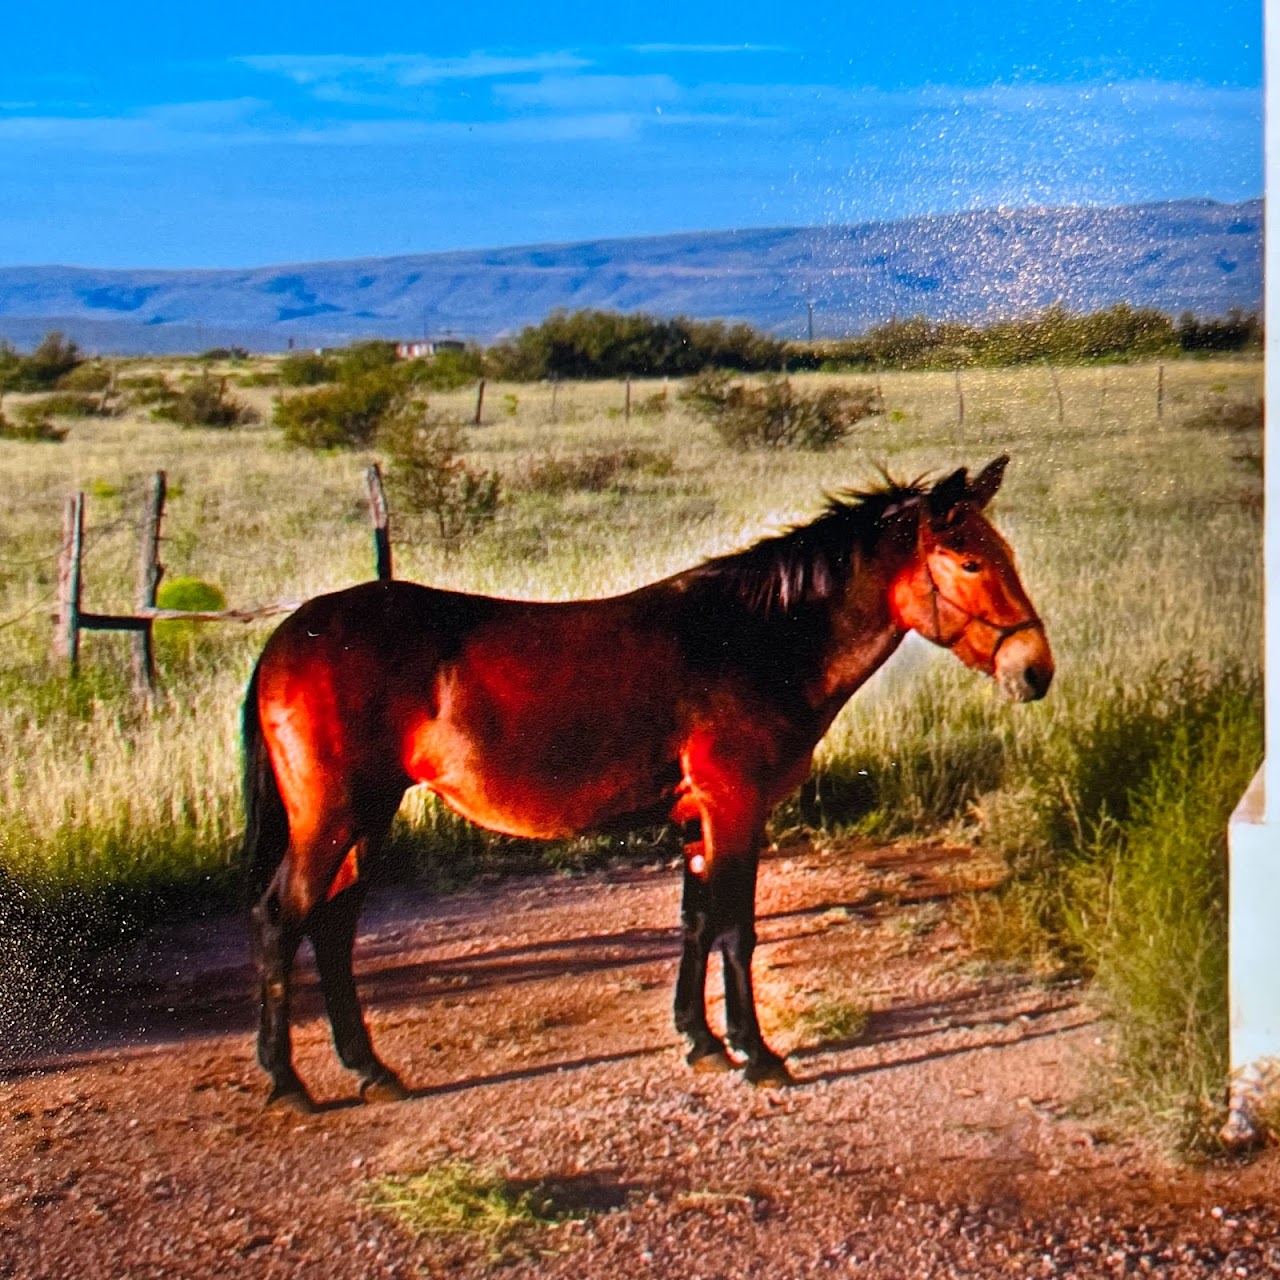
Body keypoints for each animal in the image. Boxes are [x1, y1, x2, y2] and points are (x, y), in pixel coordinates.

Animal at [240, 458, 1049, 1111]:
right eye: (968, 563)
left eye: (1005, 554)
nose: (1036, 671)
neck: (753, 640)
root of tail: (289, 635)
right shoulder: (733, 805)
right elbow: (735, 927)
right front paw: (758, 1054)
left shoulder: (697, 817)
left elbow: (695, 922)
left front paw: (702, 1043)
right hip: (335, 817)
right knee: (282, 919)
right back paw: (287, 1083)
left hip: (367, 818)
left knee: (333, 928)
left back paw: (370, 1071)